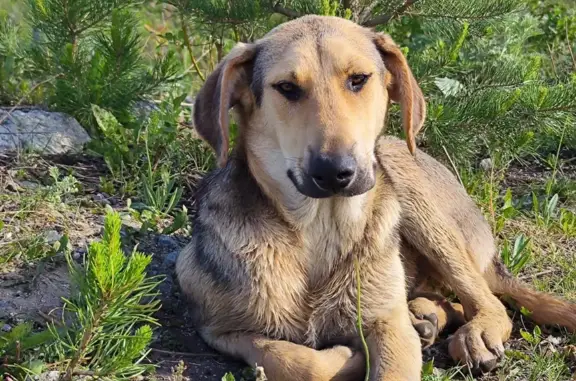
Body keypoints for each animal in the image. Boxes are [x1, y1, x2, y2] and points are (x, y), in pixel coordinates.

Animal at [177, 14, 576, 380]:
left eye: (358, 79)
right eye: (287, 87)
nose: (335, 172)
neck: (321, 228)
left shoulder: (390, 328)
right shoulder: (220, 327)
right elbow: (293, 359)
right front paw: (347, 357)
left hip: (416, 199)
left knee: (488, 301)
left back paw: (472, 331)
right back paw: (428, 315)